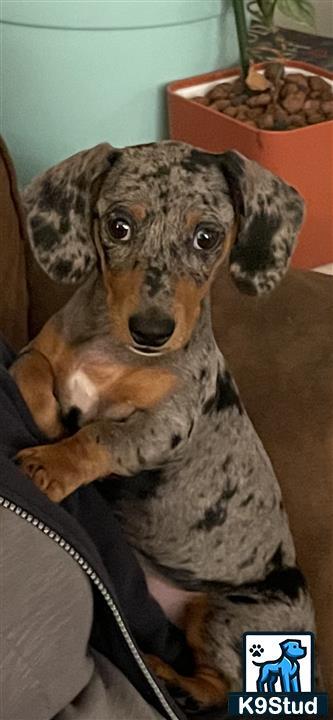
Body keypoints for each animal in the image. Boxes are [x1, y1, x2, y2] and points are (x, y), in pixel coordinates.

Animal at [11, 141, 316, 708]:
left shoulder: (168, 423)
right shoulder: (40, 352)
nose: (152, 331)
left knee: (221, 688)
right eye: (119, 226)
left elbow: (99, 435)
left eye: (207, 237)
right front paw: (46, 416)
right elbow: (33, 371)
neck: (114, 350)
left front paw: (50, 465)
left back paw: (171, 680)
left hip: (233, 609)